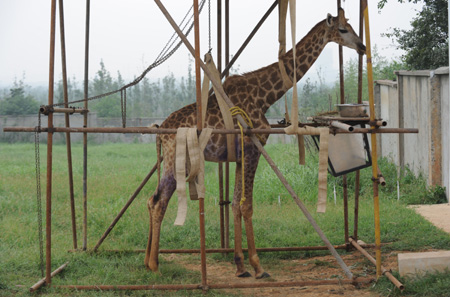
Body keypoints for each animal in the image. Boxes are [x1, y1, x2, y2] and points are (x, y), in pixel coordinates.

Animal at [145, 8, 366, 278]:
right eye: (343, 29)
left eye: (353, 27)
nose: (362, 47)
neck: (265, 96)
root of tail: (160, 132)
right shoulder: (254, 149)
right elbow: (247, 206)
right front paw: (258, 266)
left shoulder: (240, 155)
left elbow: (235, 204)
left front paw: (240, 265)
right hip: (176, 160)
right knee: (159, 202)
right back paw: (154, 265)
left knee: (153, 199)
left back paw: (148, 260)